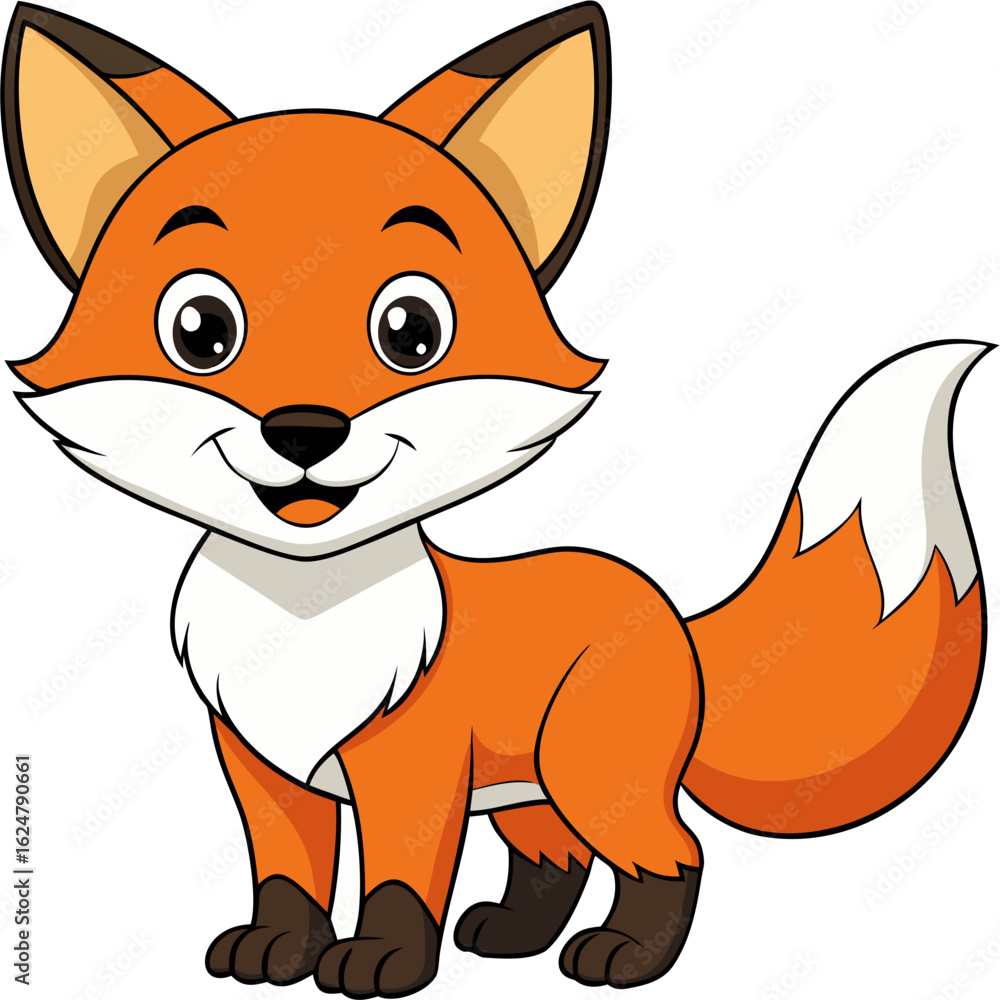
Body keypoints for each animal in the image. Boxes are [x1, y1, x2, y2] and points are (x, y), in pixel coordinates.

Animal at [2, 1, 990, 995]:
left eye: (412, 331)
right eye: (200, 331)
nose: (306, 430)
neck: (308, 622)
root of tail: (668, 612)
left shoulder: (413, 766)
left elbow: (400, 879)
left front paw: (384, 962)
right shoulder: (260, 767)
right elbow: (286, 873)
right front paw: (276, 950)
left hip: (591, 772)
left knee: (671, 853)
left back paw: (623, 956)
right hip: (529, 791)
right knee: (555, 858)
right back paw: (514, 937)